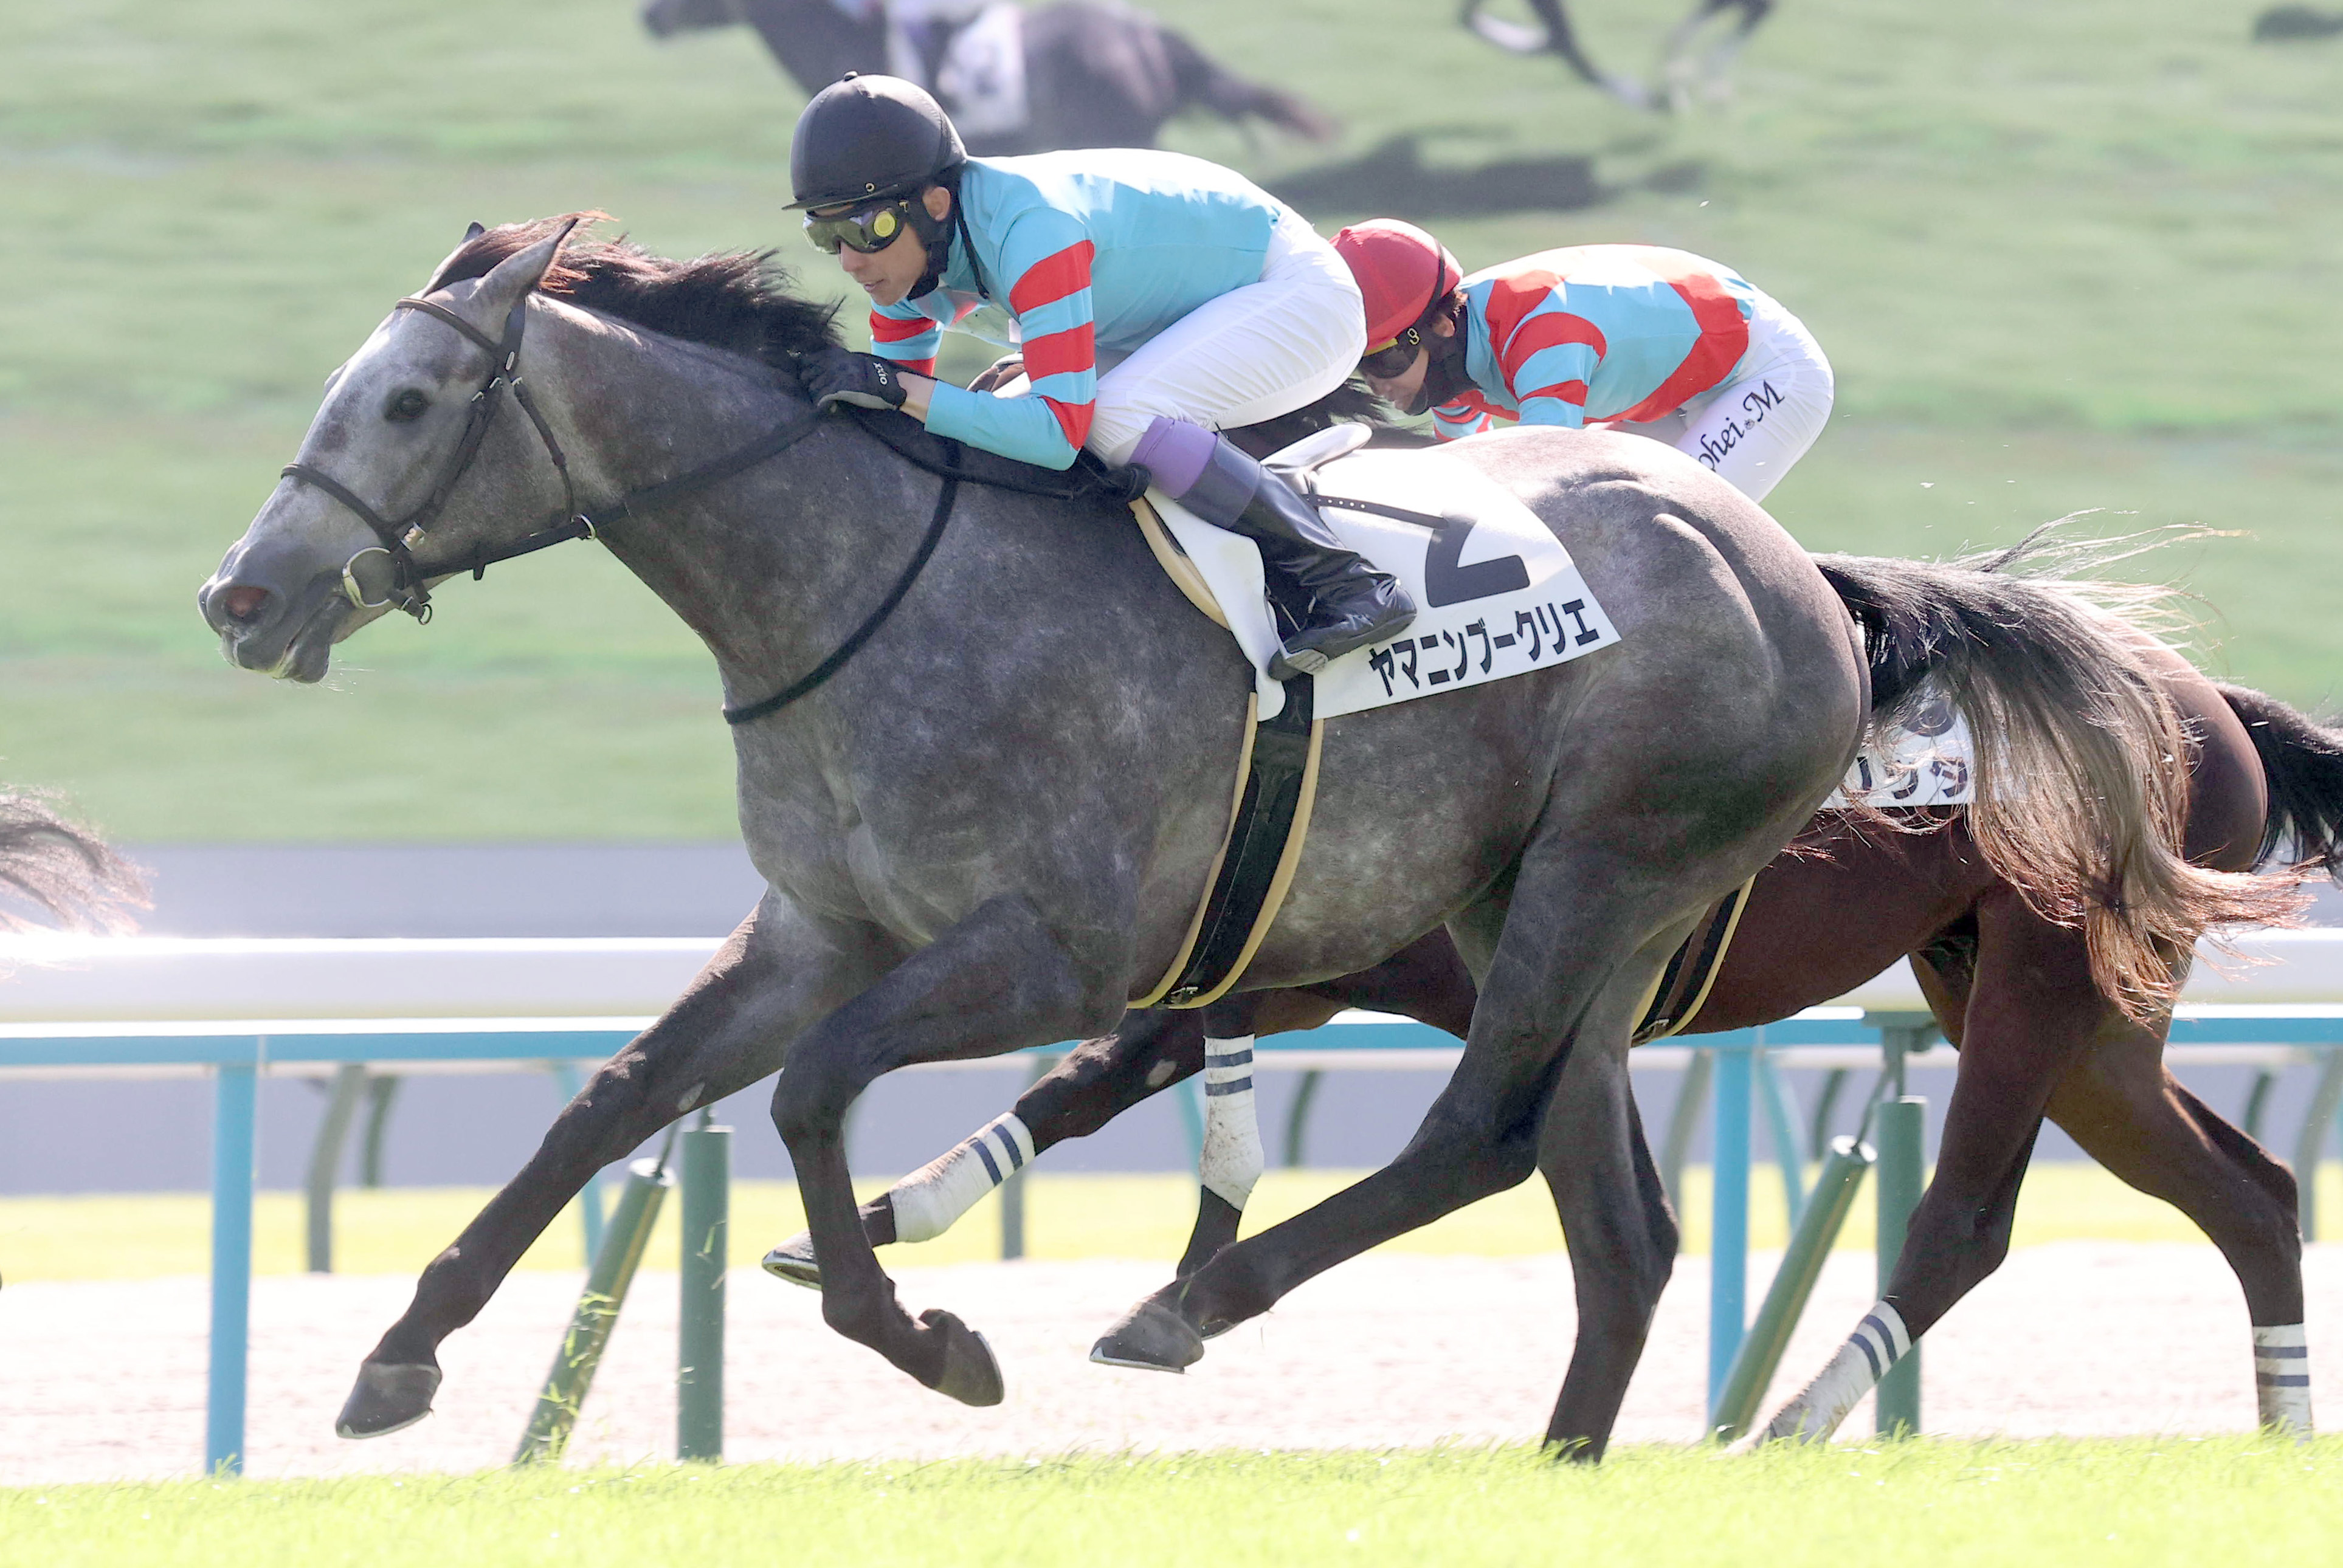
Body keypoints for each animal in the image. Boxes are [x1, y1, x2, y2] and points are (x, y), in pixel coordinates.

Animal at [767, 624, 2332, 1448]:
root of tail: (2204, 700)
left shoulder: (1383, 957)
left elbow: (1145, 1066)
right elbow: (1106, 1075)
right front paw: (889, 1217)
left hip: (2040, 976)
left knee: (1963, 1220)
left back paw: (1791, 1416)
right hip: (2070, 1010)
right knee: (2249, 1188)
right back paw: (2274, 1418)